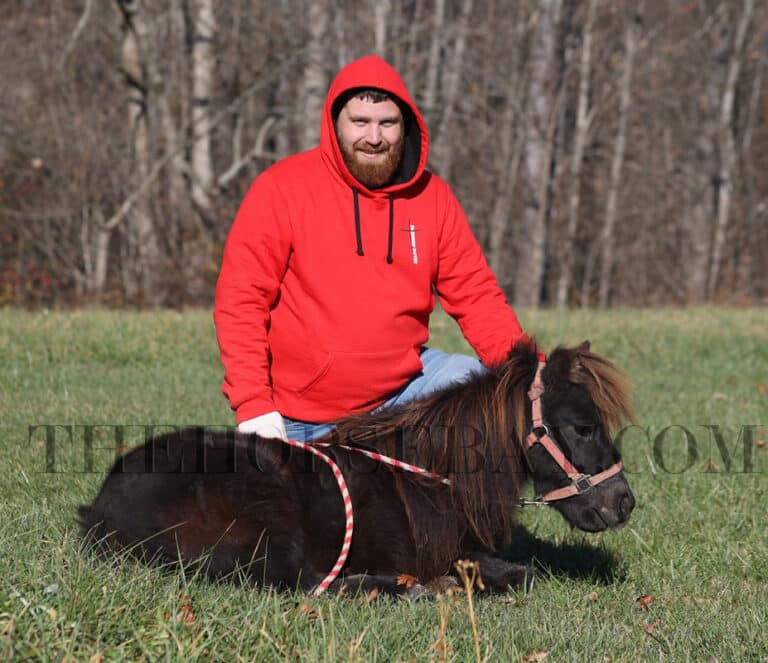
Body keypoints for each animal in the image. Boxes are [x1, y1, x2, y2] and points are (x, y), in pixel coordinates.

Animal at [78, 340, 635, 597]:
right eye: (583, 427)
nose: (624, 503)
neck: (433, 476)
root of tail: (101, 507)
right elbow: (519, 574)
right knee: (306, 585)